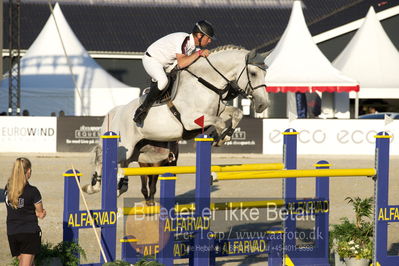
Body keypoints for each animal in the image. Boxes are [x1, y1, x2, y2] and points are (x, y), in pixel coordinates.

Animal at [83, 45, 270, 195]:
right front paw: (219, 137)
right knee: (102, 159)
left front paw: (223, 137)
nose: (263, 105)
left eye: (265, 73)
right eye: (253, 73)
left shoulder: (219, 111)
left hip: (134, 153)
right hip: (125, 147)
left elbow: (236, 113)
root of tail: (117, 111)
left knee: (118, 168)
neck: (205, 83)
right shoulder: (191, 120)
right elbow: (219, 122)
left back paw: (112, 187)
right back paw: (94, 185)